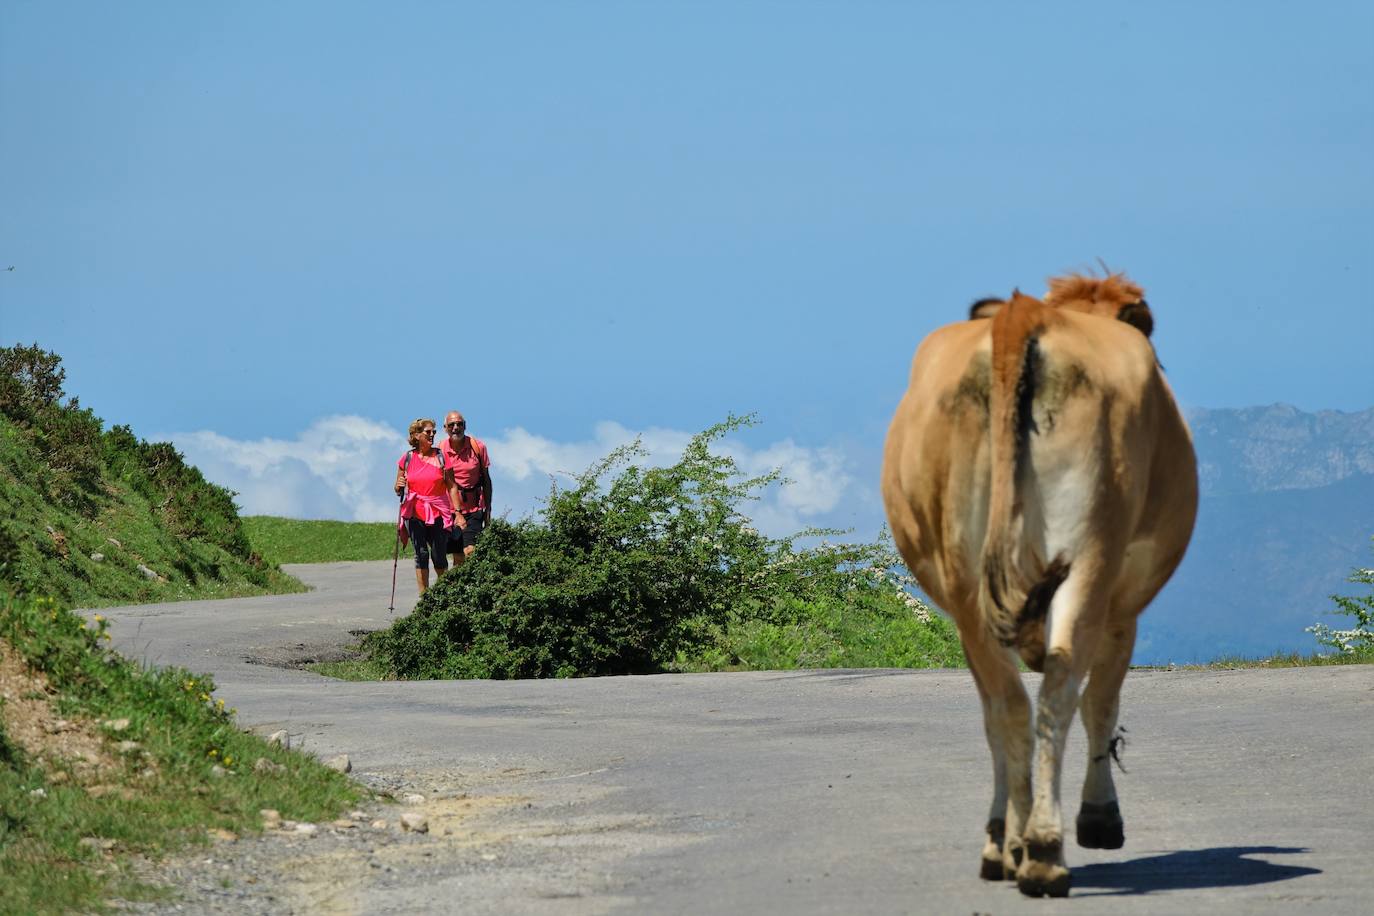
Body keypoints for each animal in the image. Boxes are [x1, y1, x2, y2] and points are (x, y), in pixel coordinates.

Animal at [884, 270, 1198, 895]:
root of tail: (1022, 315)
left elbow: (997, 718)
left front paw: (1002, 837)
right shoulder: (1125, 609)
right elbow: (1102, 701)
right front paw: (1099, 818)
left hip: (967, 575)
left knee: (1008, 706)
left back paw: (1023, 845)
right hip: (1092, 554)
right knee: (1061, 690)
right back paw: (1046, 849)